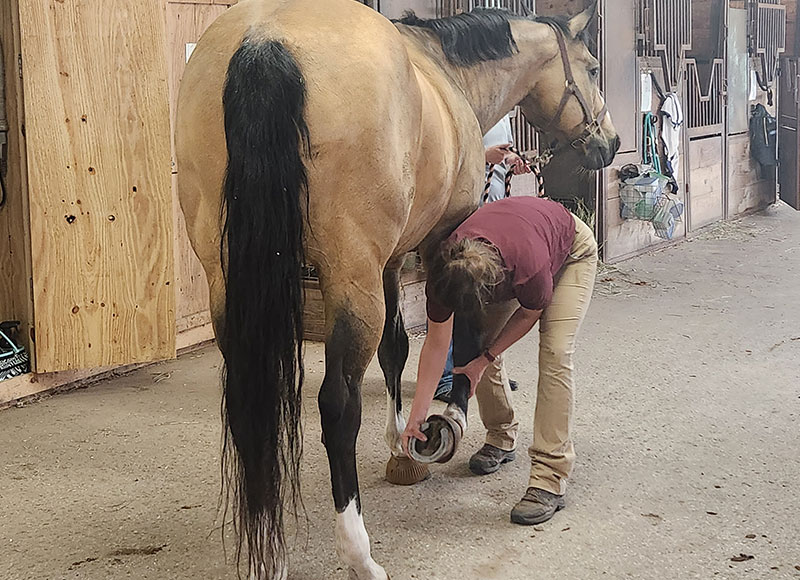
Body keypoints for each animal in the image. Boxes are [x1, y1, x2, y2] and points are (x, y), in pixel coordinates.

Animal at [175, 0, 618, 577]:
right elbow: (452, 339)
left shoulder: (389, 261)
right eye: (592, 67)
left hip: (228, 282)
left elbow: (395, 350)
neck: (444, 73)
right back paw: (359, 554)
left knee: (253, 403)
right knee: (337, 406)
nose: (610, 144)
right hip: (349, 275)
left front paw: (399, 443)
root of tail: (263, 40)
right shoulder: (437, 242)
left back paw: (267, 556)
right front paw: (438, 425)